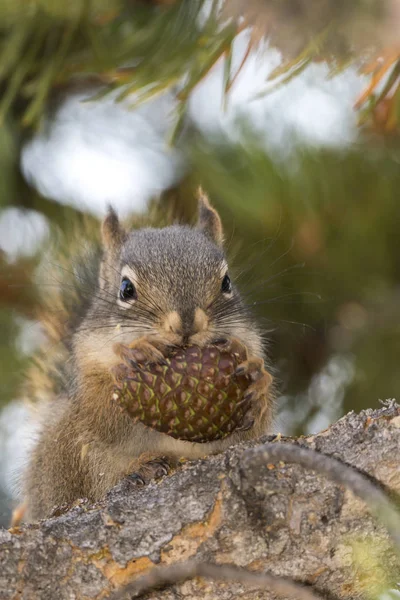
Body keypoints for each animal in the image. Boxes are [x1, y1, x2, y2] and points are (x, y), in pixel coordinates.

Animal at [19, 190, 276, 524]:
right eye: (126, 289)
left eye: (227, 282)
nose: (187, 325)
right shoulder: (86, 395)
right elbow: (103, 416)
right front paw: (134, 353)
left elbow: (250, 433)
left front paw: (256, 380)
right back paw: (139, 467)